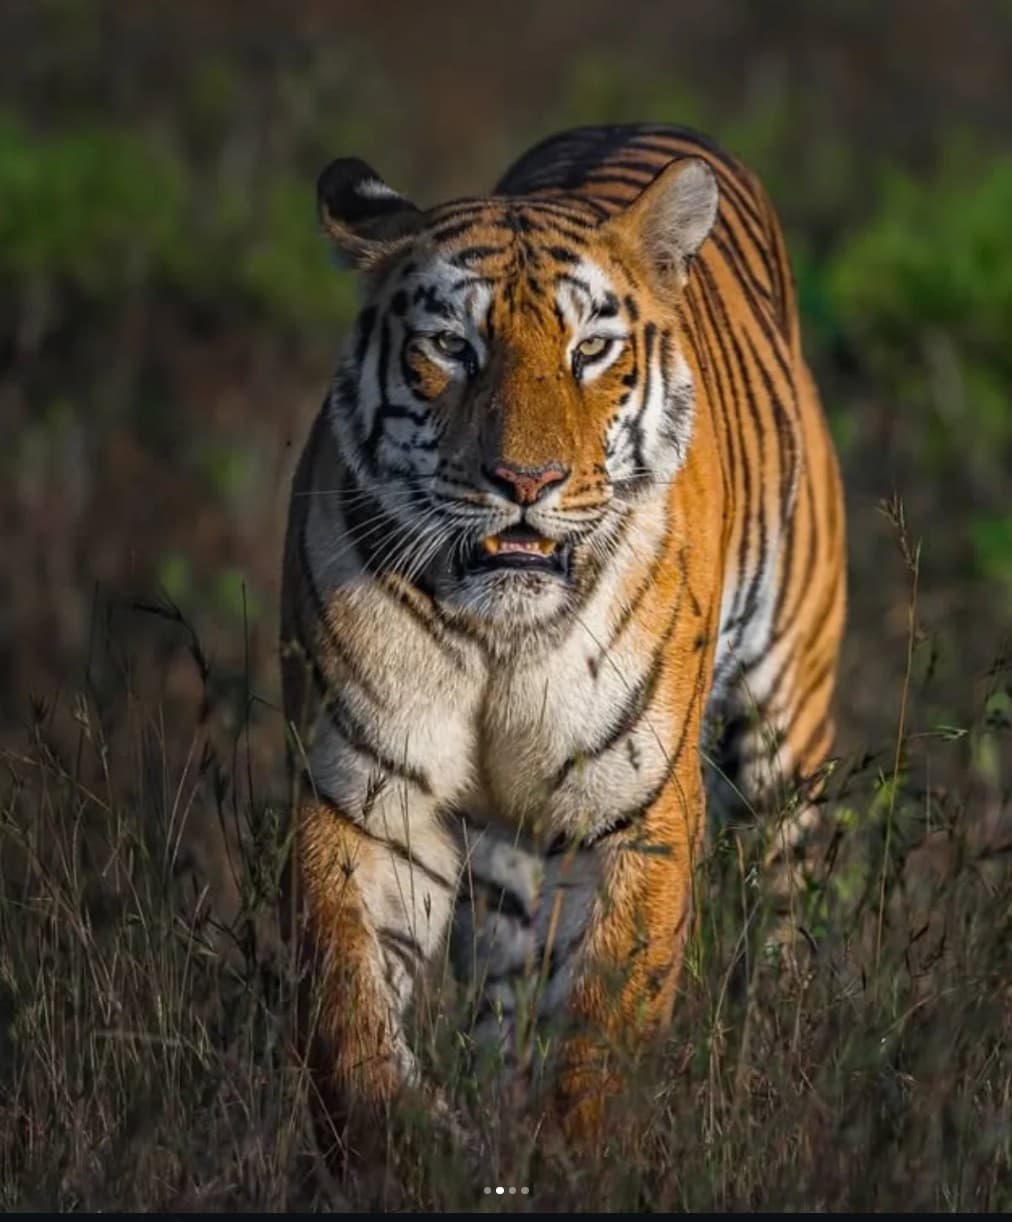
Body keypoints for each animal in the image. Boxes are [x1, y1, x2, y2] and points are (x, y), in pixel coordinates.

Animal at [280, 123, 846, 1152]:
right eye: (451, 347)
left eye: (590, 350)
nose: (526, 481)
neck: (500, 633)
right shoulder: (368, 799)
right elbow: (347, 1009)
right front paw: (402, 1144)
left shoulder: (640, 810)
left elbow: (604, 1025)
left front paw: (576, 1156)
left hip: (784, 727)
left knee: (786, 904)